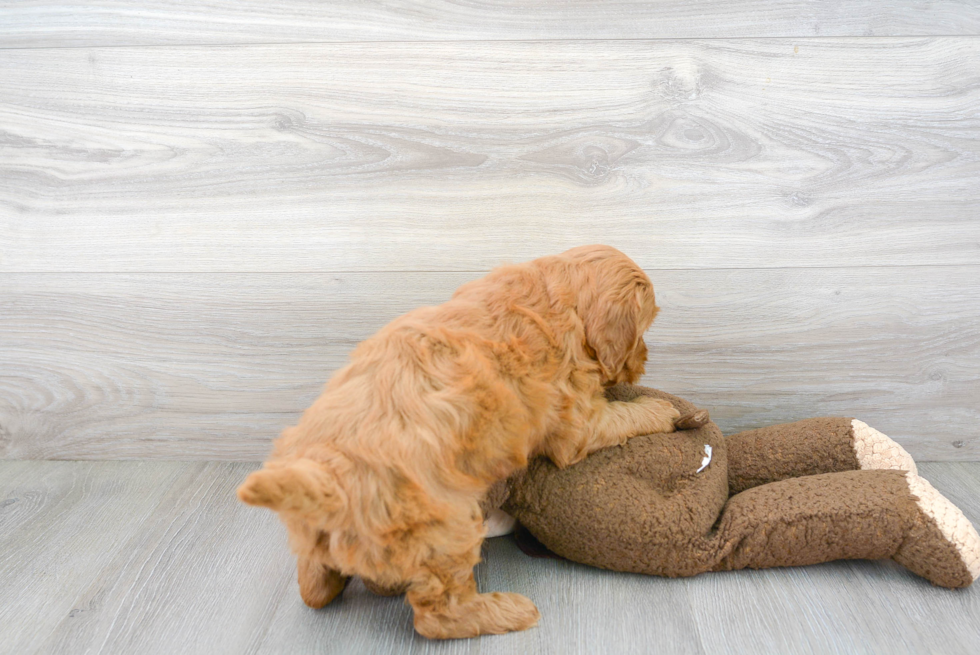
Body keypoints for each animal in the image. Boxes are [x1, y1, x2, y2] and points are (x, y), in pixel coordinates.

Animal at [238, 243, 680, 640]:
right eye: (644, 330)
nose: (644, 361)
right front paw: (663, 410)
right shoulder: (577, 421)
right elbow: (619, 418)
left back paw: (328, 583)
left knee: (312, 585)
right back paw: (508, 611)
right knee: (436, 617)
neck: (555, 290)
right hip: (446, 531)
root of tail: (326, 487)